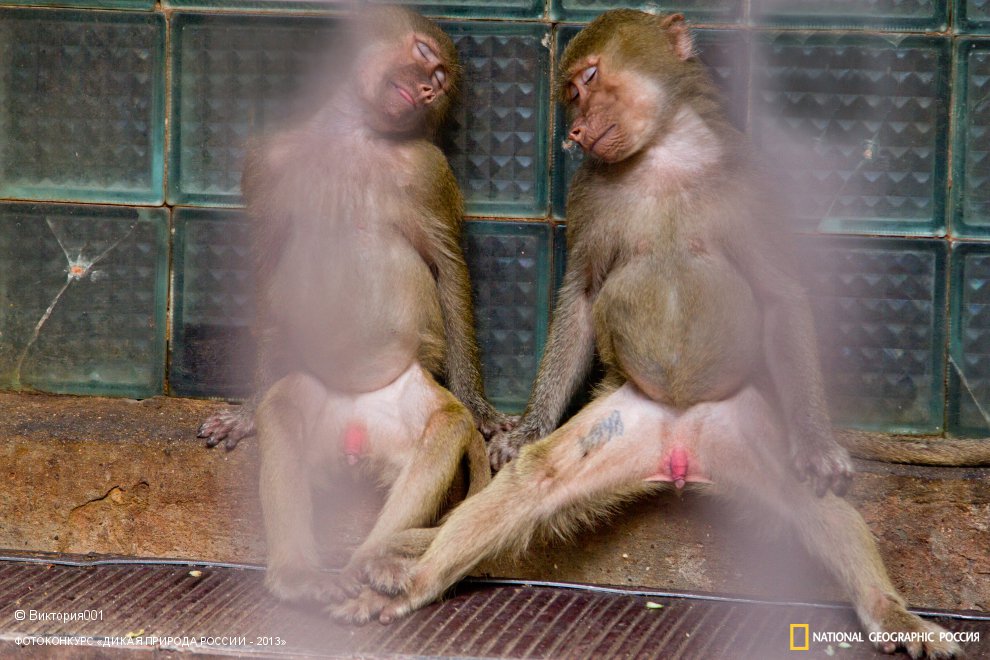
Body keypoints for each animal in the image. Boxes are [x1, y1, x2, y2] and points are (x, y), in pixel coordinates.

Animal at [217, 7, 501, 605]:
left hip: (406, 399)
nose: (428, 87)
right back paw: (298, 575)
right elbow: (267, 265)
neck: (354, 133)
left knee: (444, 426)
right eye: (425, 56)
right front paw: (244, 411)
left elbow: (448, 266)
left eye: (441, 81)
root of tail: (357, 441)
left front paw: (483, 411)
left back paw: (370, 560)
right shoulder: (267, 163)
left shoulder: (427, 170)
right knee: (282, 413)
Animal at [332, 12, 961, 658]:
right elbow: (583, 297)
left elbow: (781, 294)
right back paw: (416, 581)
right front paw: (526, 429)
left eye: (587, 79)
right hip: (626, 419)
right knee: (538, 483)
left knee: (814, 503)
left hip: (735, 425)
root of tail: (678, 444)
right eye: (569, 93)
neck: (665, 155)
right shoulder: (590, 190)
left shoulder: (752, 181)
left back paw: (890, 611)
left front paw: (816, 444)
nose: (576, 129)